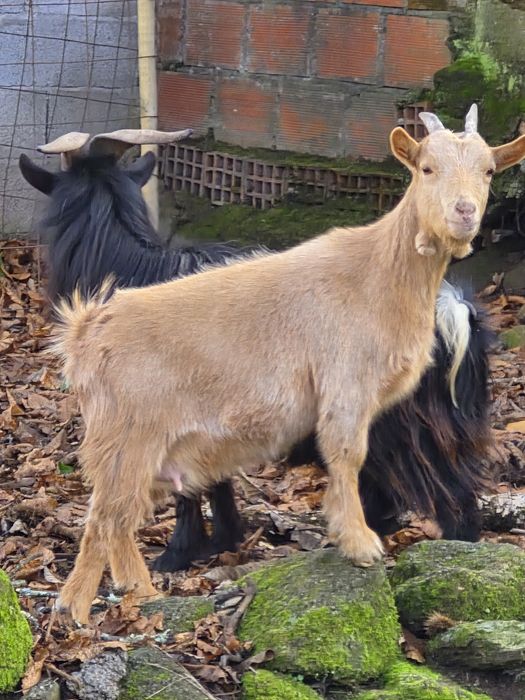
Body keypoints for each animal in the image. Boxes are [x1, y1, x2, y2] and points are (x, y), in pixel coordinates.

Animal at [49, 106, 525, 622]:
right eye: (426, 168)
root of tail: (86, 330)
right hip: (129, 434)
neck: (378, 270)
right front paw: (359, 545)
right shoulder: (346, 384)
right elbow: (345, 455)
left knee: (116, 516)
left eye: (489, 171)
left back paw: (132, 593)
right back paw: (78, 608)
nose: (464, 212)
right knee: (106, 516)